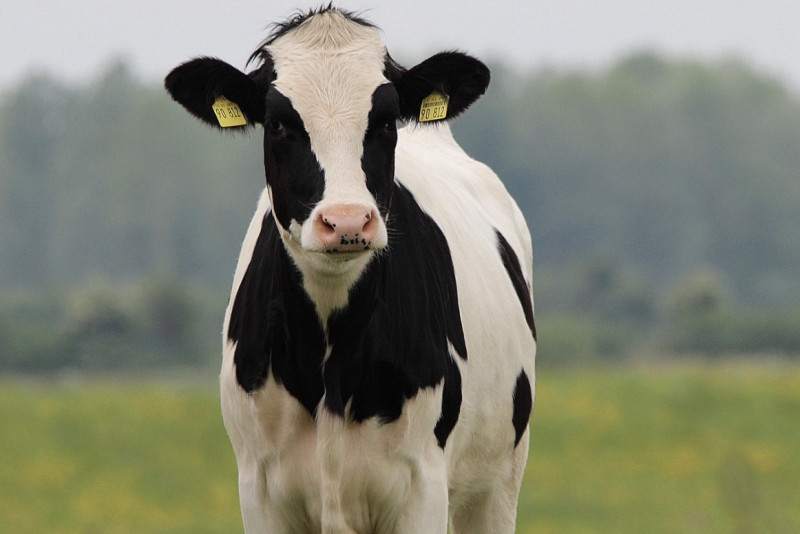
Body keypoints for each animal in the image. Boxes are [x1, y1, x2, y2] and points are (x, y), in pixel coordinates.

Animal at [165, 6, 536, 533]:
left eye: (385, 121)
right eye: (278, 124)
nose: (346, 221)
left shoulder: (422, 486)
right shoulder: (258, 490)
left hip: (498, 482)